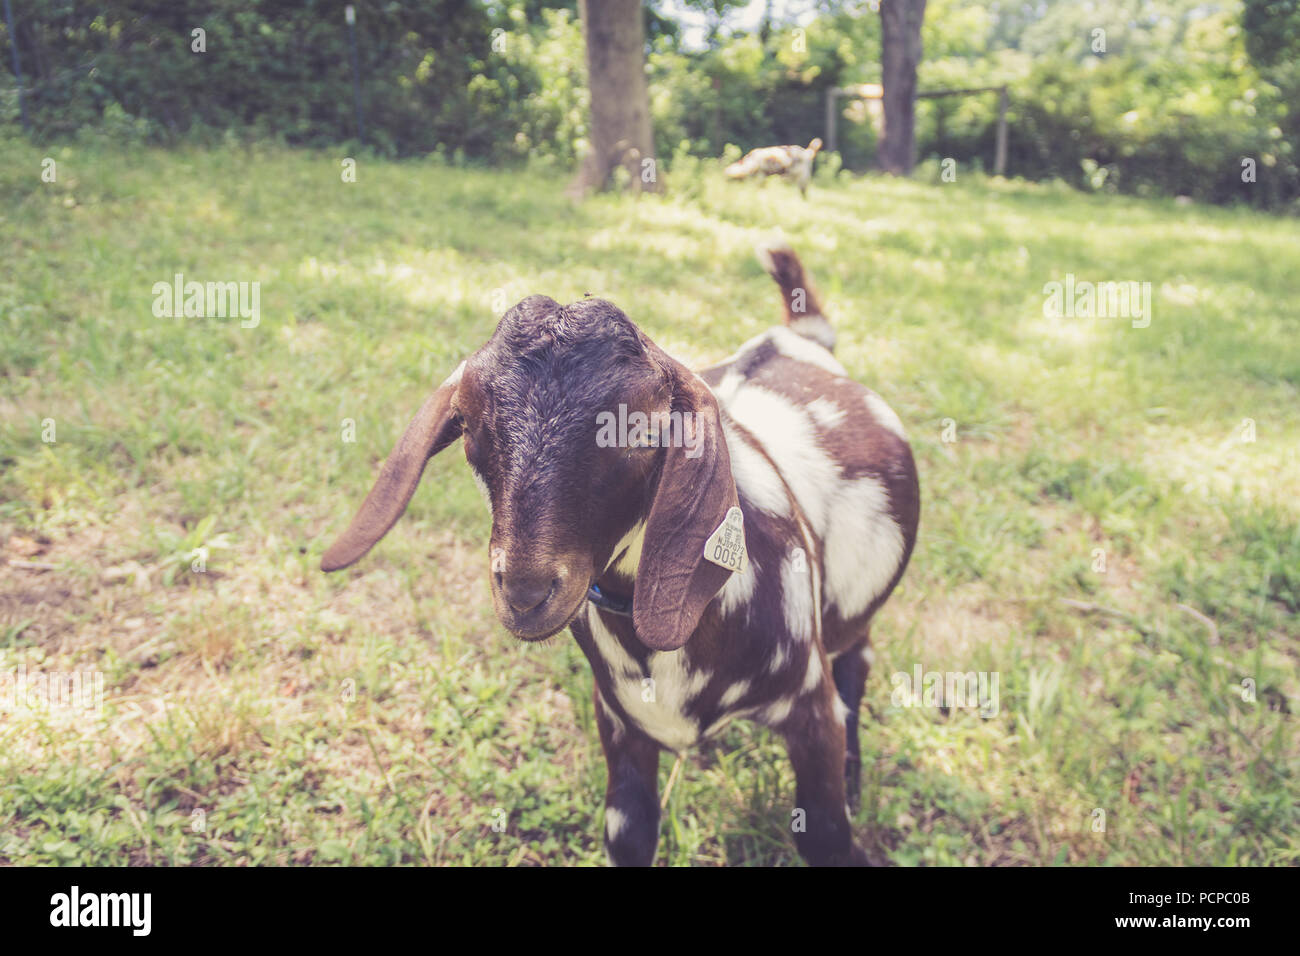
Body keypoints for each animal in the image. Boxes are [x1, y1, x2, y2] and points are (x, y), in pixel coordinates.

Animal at [319, 240, 920, 868]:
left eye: (642, 434)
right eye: (471, 431)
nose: (525, 591)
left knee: (858, 658)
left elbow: (822, 831)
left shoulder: (810, 704)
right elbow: (628, 832)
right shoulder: (619, 722)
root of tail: (800, 335)